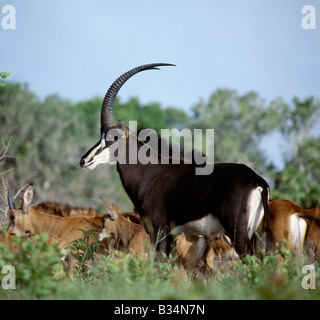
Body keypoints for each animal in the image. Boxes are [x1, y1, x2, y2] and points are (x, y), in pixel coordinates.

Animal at [80, 63, 270, 258]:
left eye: (114, 137)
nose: (84, 160)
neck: (149, 171)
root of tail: (258, 182)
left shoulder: (158, 229)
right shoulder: (170, 233)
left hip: (237, 232)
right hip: (253, 232)